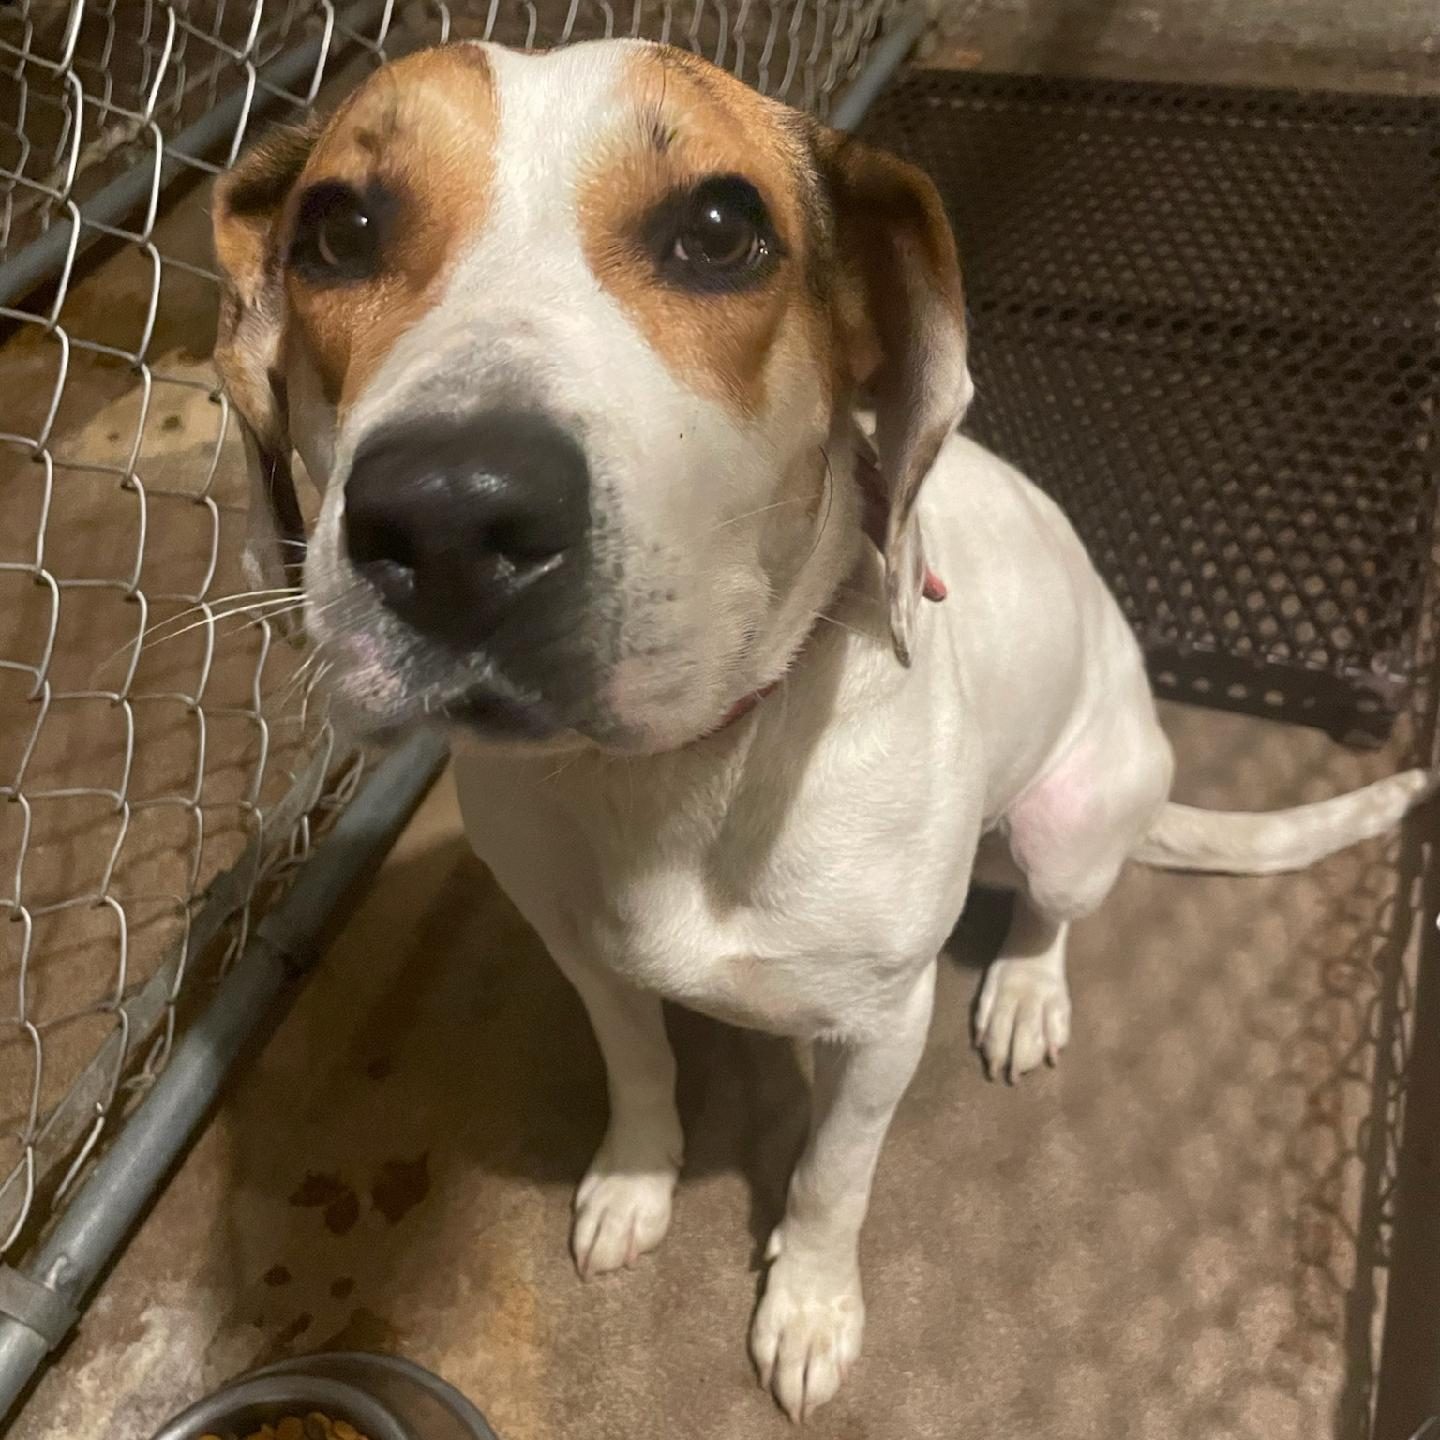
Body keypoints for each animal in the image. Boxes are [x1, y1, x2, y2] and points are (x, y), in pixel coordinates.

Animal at [208, 39, 1434, 1422]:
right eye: (338, 231)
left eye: (720, 230)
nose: (450, 522)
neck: (677, 776)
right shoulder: (584, 960)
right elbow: (640, 1069)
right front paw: (636, 1181)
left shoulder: (878, 1032)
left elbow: (831, 1182)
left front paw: (807, 1304)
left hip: (1069, 818)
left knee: (1057, 911)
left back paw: (1027, 990)